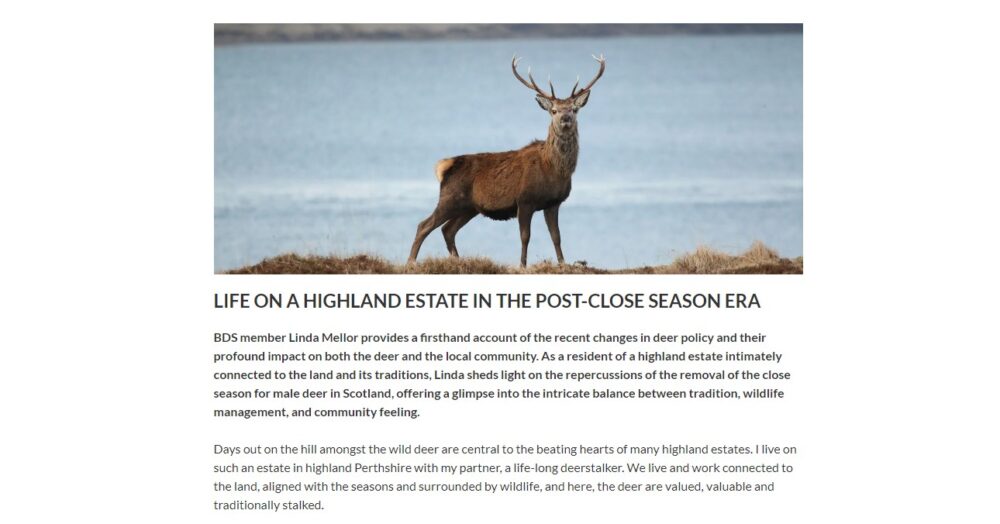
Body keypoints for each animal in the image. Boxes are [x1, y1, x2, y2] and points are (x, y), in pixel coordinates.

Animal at [407, 53, 606, 267]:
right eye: (553, 110)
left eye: (574, 109)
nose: (565, 118)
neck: (555, 170)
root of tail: (444, 166)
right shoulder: (525, 200)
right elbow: (525, 236)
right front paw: (522, 265)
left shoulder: (553, 203)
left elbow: (556, 236)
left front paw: (562, 263)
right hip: (450, 198)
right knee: (424, 225)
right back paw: (411, 262)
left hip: (469, 207)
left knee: (448, 230)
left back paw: (458, 261)